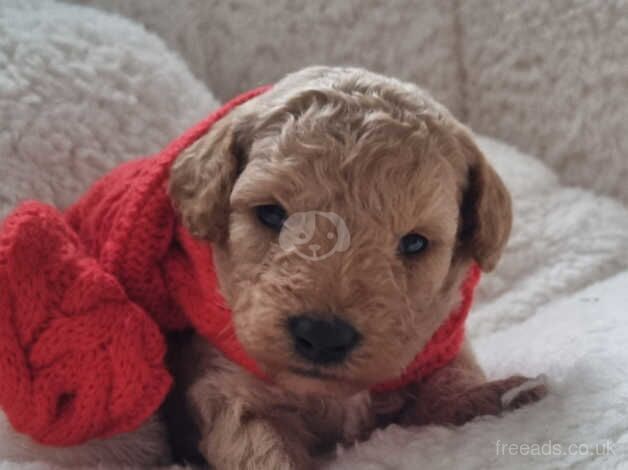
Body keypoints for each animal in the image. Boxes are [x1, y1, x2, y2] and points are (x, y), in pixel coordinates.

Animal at [166, 66, 544, 470]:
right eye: (271, 214)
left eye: (414, 243)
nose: (323, 335)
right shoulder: (229, 386)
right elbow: (261, 448)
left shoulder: (439, 350)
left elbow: (449, 384)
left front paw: (496, 395)